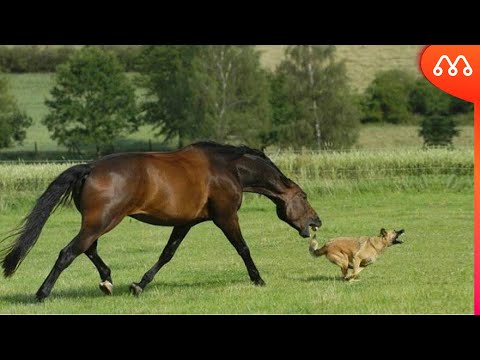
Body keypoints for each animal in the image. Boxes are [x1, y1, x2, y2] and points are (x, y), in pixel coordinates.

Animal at [1, 141, 322, 300]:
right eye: (304, 196)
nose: (316, 222)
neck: (228, 168)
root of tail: (89, 167)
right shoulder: (225, 217)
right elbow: (243, 248)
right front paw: (258, 279)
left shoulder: (185, 222)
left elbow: (167, 254)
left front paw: (139, 285)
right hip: (102, 221)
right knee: (68, 252)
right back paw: (42, 294)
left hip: (97, 222)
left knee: (88, 249)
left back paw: (107, 281)